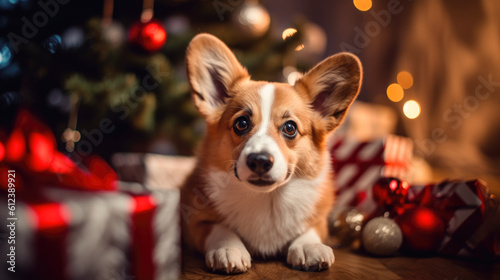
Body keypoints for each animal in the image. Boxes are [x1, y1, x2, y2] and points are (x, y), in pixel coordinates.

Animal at [182, 33, 362, 274]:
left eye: (290, 128)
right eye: (241, 123)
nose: (259, 161)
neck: (267, 199)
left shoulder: (320, 221)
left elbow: (310, 230)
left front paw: (309, 247)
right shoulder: (194, 223)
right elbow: (218, 228)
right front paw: (228, 248)